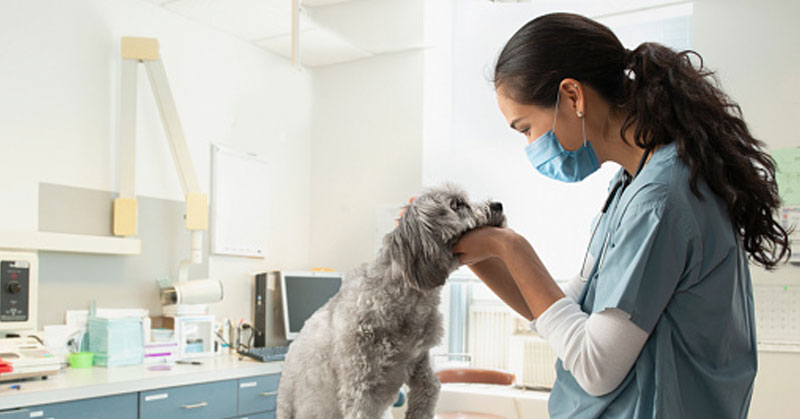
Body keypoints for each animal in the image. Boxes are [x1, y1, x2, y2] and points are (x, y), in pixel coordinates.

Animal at [278, 186, 506, 419]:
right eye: (457, 205)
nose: (498, 205)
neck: (407, 299)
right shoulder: (360, 389)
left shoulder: (419, 364)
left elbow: (430, 388)